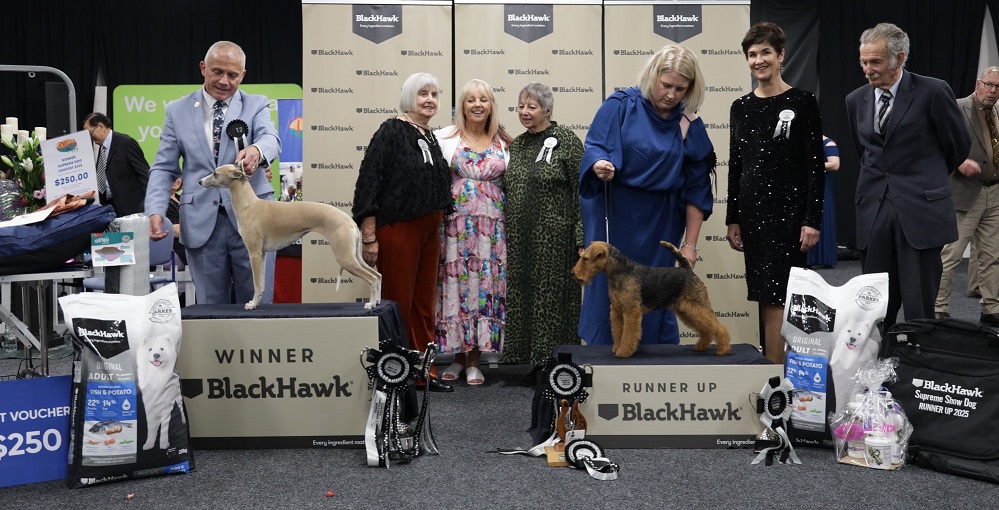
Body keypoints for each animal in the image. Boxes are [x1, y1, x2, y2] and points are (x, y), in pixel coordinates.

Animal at [200, 164, 382, 310]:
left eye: (215, 173)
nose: (200, 182)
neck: (249, 205)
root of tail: (351, 222)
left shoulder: (254, 253)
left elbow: (256, 283)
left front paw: (252, 305)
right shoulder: (262, 254)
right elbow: (262, 283)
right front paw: (256, 303)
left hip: (345, 257)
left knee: (372, 278)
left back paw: (371, 304)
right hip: (354, 256)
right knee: (378, 275)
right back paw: (378, 302)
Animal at [572, 240, 732, 358]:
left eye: (585, 258)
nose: (573, 273)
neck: (620, 272)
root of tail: (686, 268)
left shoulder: (631, 311)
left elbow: (628, 334)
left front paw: (623, 352)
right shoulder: (617, 311)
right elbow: (618, 332)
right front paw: (617, 348)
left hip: (696, 305)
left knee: (717, 326)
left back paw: (723, 349)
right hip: (686, 309)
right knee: (706, 328)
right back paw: (701, 346)